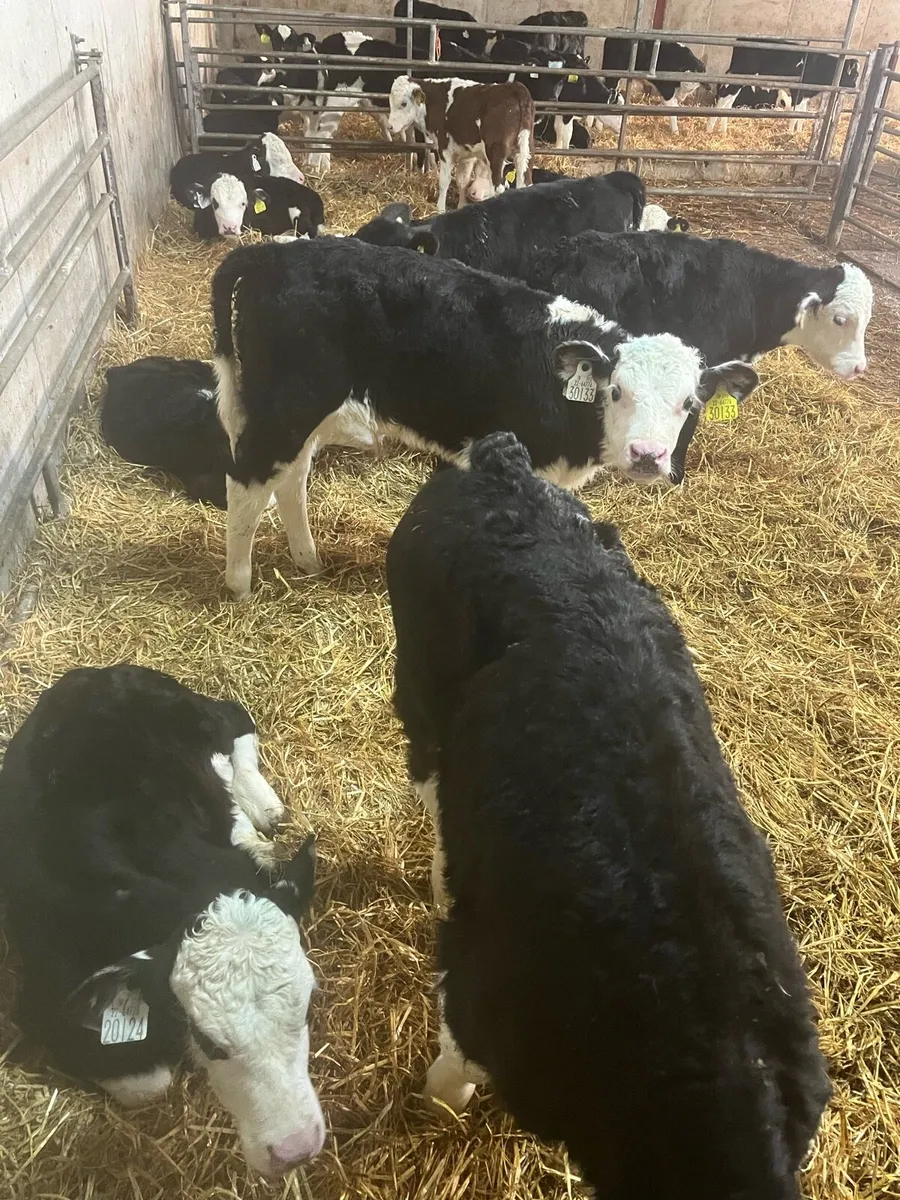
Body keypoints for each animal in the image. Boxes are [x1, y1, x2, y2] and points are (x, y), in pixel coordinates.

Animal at [0, 664, 325, 1177]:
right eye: (208, 1040)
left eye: (309, 1007)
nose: (296, 1150)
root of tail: (90, 674)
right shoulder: (42, 1007)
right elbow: (149, 1083)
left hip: (195, 712)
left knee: (236, 719)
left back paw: (261, 805)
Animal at [209, 237, 758, 597]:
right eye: (617, 391)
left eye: (689, 404)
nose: (648, 455)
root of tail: (272, 254)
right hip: (284, 403)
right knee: (247, 481)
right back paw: (239, 584)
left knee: (291, 478)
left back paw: (308, 561)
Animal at [386, 429, 832, 1199]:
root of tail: (502, 464)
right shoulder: (479, 984)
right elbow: (453, 1068)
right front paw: (434, 1100)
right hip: (418, 686)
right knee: (431, 781)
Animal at [388, 76, 534, 210]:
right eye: (390, 102)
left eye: (403, 103)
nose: (390, 126)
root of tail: (514, 88)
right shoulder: (467, 153)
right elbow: (462, 180)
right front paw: (462, 206)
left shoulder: (444, 148)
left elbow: (444, 181)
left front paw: (440, 209)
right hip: (524, 150)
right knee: (525, 183)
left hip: (496, 154)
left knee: (498, 188)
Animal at [514, 230, 873, 480]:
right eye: (840, 319)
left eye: (867, 320)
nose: (859, 367)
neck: (753, 293)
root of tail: (559, 254)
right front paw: (676, 475)